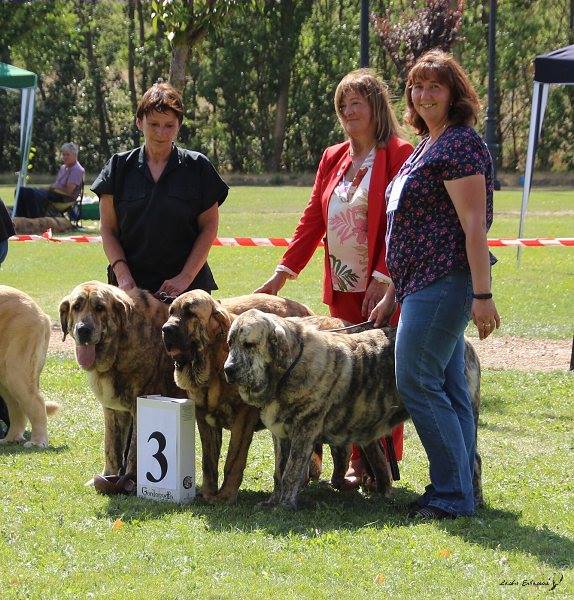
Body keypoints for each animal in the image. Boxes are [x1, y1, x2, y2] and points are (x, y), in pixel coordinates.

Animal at [0, 284, 59, 448]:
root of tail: (42, 314)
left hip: (16, 368)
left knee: (36, 402)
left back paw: (37, 442)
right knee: (16, 406)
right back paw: (10, 439)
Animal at [162, 290, 316, 502]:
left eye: (191, 313)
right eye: (171, 312)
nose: (165, 329)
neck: (214, 365)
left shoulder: (243, 419)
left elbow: (233, 461)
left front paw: (225, 495)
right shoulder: (203, 417)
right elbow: (208, 461)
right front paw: (208, 493)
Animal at [225, 310, 486, 510]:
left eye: (249, 345)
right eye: (230, 344)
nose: (228, 369)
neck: (289, 367)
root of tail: (465, 344)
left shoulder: (304, 430)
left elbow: (291, 472)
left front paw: (285, 505)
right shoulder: (281, 434)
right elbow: (280, 471)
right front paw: (273, 500)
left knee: (473, 460)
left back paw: (475, 500)